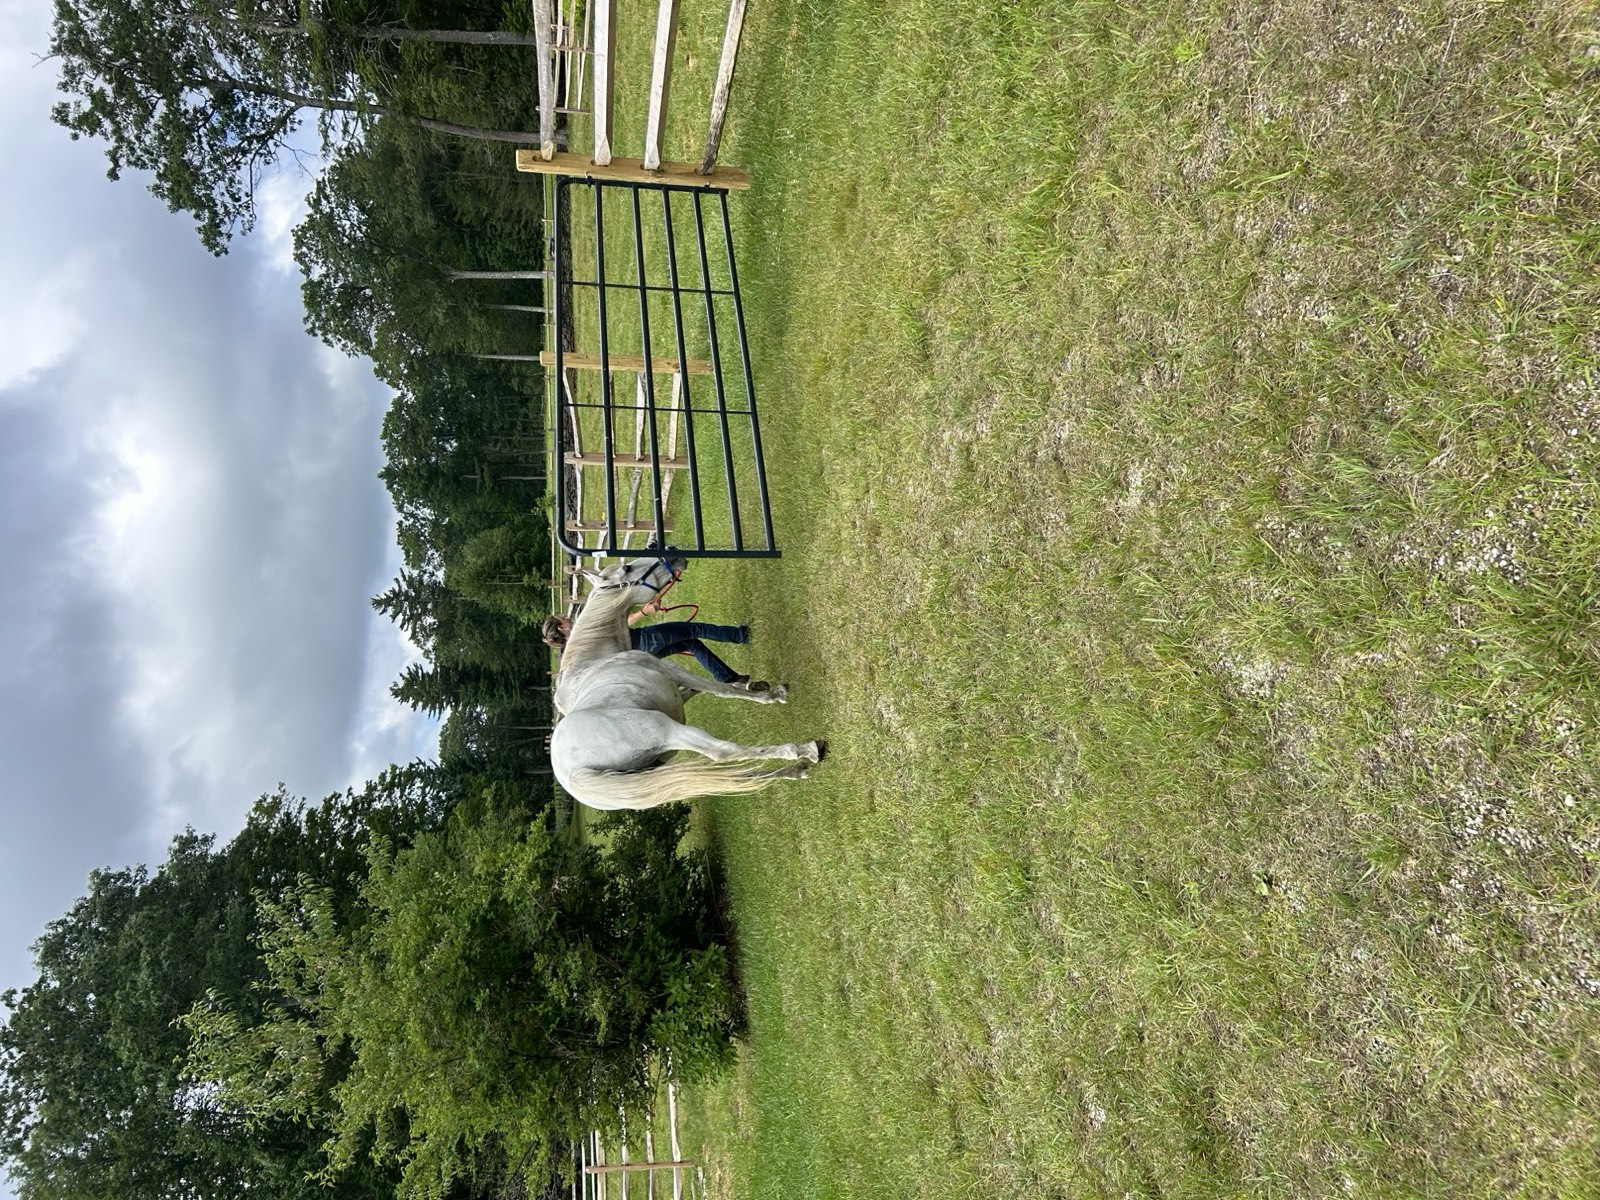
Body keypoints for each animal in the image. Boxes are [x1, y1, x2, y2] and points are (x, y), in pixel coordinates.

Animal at [549, 555, 825, 810]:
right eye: (627, 568)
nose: (672, 553)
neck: (596, 655)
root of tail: (573, 776)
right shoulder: (669, 669)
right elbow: (719, 689)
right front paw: (772, 695)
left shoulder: (674, 692)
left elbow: (700, 688)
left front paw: (752, 685)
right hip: (668, 730)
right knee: (723, 752)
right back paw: (805, 750)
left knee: (734, 777)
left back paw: (792, 771)